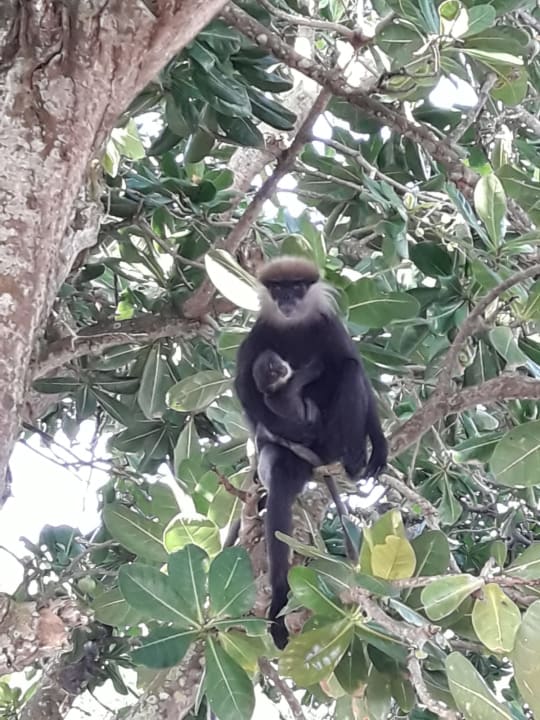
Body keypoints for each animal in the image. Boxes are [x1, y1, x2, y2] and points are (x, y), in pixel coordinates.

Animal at [234, 256, 387, 648]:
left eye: (297, 287)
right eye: (278, 289)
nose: (287, 299)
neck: (293, 325)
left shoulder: (329, 326)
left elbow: (354, 367)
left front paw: (380, 446)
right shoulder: (260, 335)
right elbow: (245, 389)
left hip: (332, 437)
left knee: (349, 370)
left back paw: (353, 459)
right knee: (279, 495)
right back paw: (278, 601)